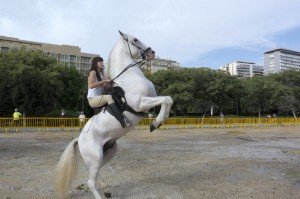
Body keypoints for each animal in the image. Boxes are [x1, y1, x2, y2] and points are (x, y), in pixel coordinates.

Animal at [54, 31, 173, 199]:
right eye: (135, 39)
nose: (152, 53)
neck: (129, 76)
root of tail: (79, 139)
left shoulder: (149, 101)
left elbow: (168, 100)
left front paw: (157, 122)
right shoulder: (141, 103)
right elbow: (167, 99)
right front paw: (156, 123)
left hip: (109, 151)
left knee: (96, 173)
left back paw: (106, 189)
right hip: (96, 155)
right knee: (91, 181)